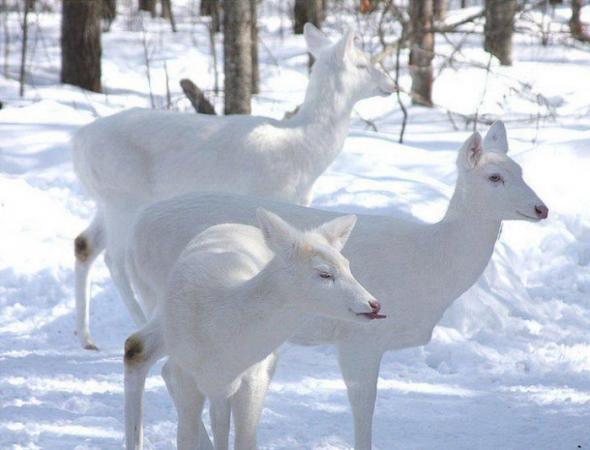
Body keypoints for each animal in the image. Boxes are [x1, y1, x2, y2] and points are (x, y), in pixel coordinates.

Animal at [71, 22, 396, 350]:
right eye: (362, 63)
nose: (392, 84)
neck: (304, 148)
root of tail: (79, 140)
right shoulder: (269, 192)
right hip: (123, 198)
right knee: (114, 258)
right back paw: (136, 322)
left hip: (105, 199)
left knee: (84, 244)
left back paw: (87, 338)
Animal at [125, 209, 384, 450]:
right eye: (324, 273)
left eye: (348, 266)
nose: (374, 304)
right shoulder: (185, 373)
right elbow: (186, 439)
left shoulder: (255, 376)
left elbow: (245, 441)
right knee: (139, 350)